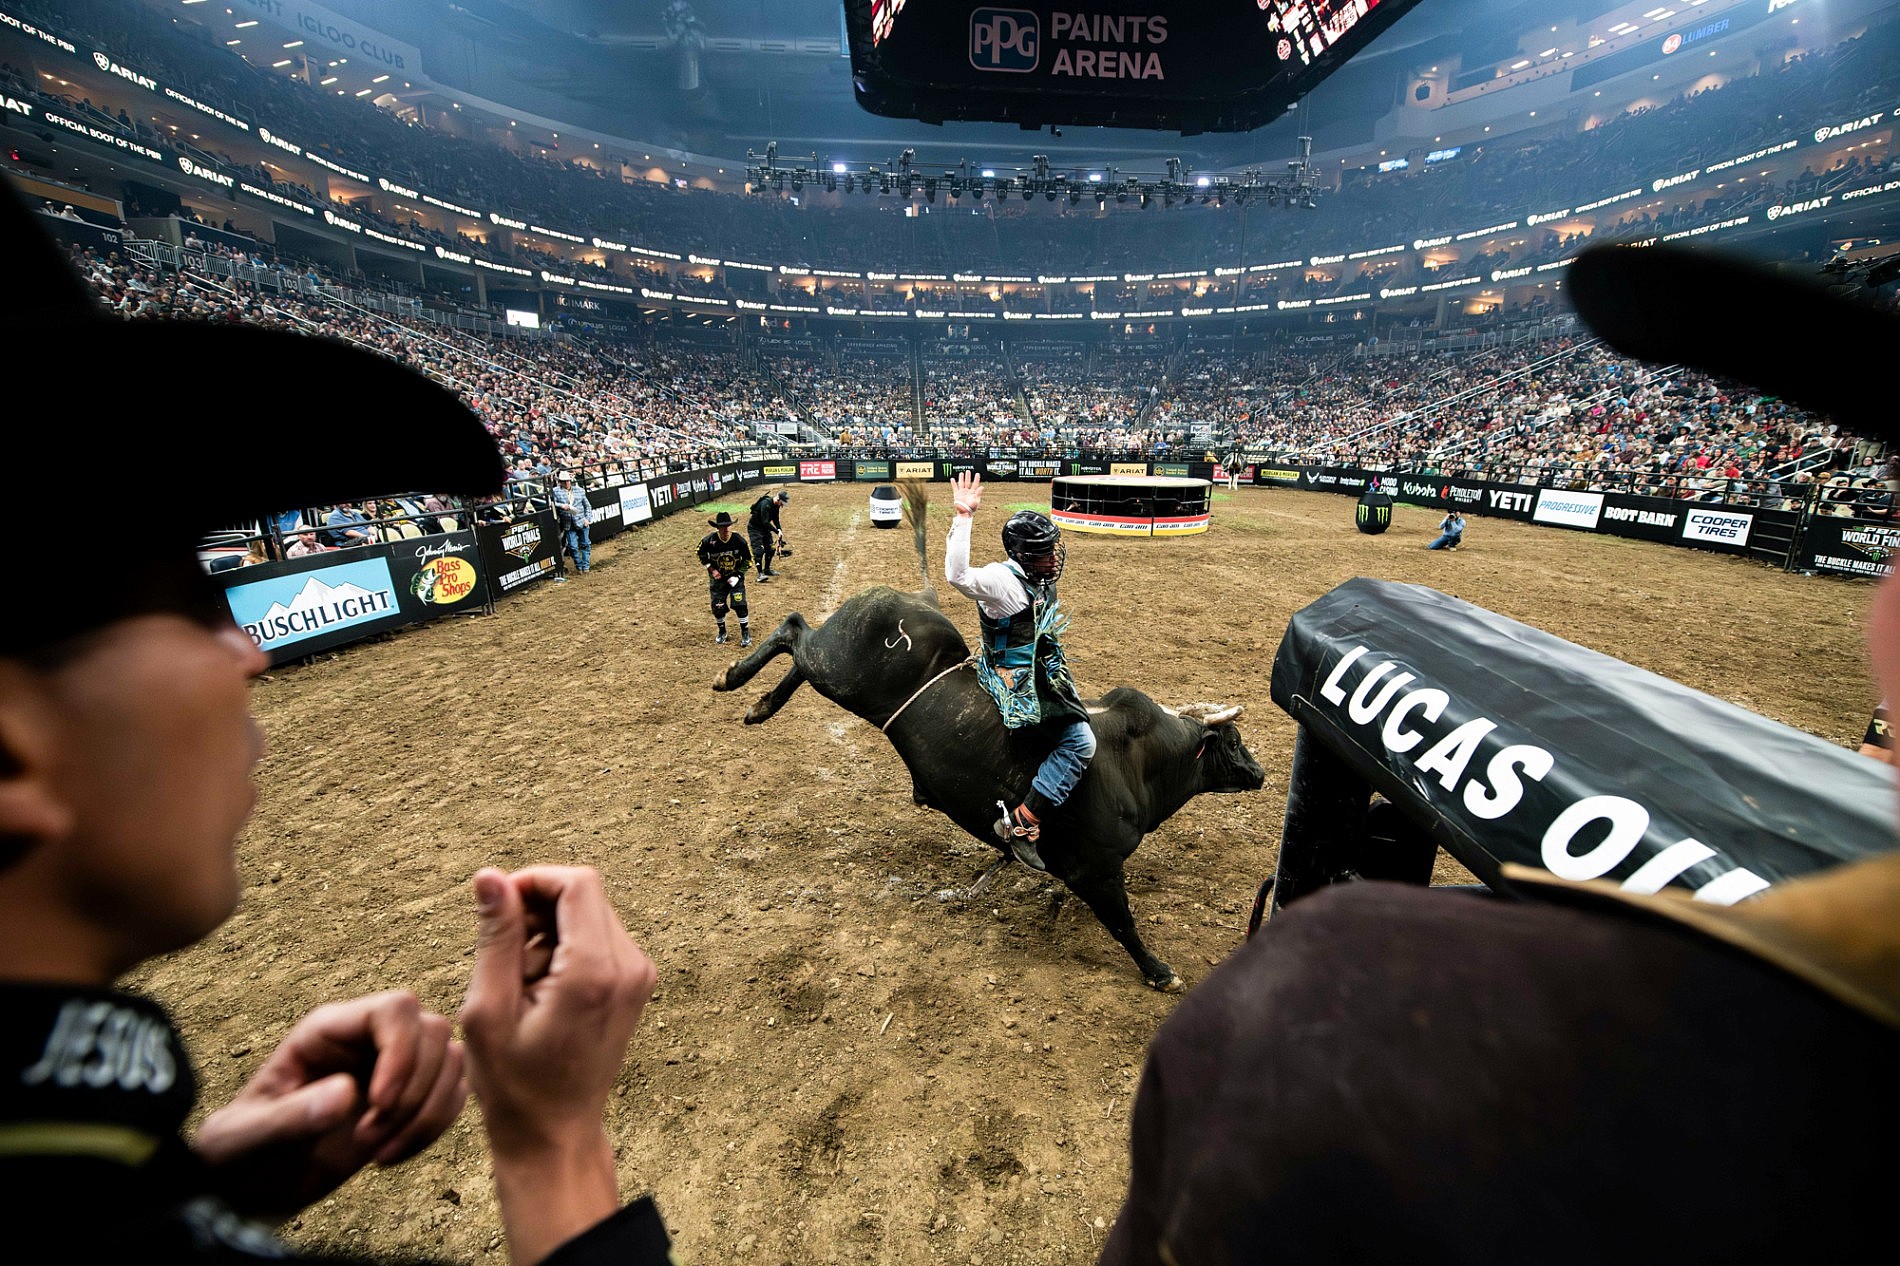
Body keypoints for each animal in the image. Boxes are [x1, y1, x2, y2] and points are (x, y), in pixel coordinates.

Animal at [712, 490, 1264, 990]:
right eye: (1234, 742)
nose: (1260, 774)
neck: (1138, 762)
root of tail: (919, 598)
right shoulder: (1098, 870)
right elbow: (1123, 923)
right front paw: (1159, 971)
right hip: (837, 667)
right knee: (794, 628)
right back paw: (734, 679)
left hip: (833, 670)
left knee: (797, 650)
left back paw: (759, 704)